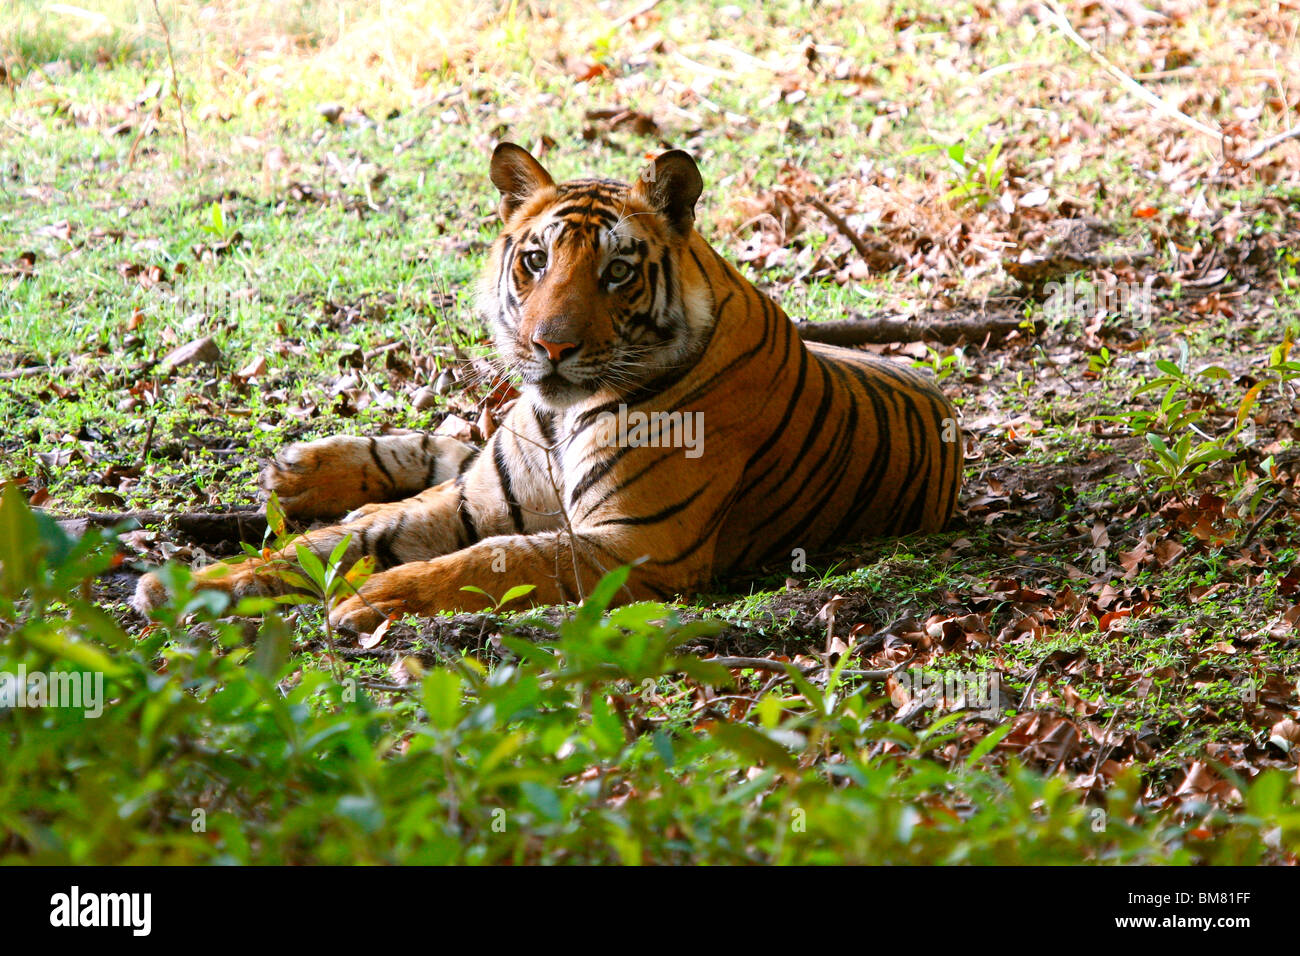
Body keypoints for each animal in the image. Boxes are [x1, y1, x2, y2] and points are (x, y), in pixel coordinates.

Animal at [134, 143, 967, 634]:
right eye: (535, 260)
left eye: (618, 271)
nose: (549, 346)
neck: (562, 417)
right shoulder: (473, 500)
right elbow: (333, 541)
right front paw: (194, 584)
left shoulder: (635, 544)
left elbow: (497, 558)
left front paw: (379, 597)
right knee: (442, 453)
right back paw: (300, 471)